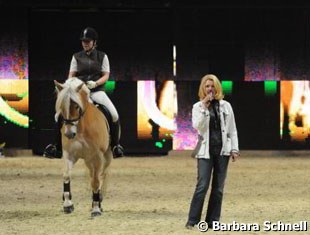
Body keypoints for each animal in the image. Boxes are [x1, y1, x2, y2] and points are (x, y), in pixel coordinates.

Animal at [53, 78, 112, 217]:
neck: (81, 128)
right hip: (88, 160)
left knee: (101, 176)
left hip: (105, 158)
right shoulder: (69, 154)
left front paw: (96, 208)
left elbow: (96, 181)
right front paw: (67, 204)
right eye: (61, 107)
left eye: (76, 106)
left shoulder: (97, 157)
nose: (69, 134)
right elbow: (66, 175)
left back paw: (99, 202)